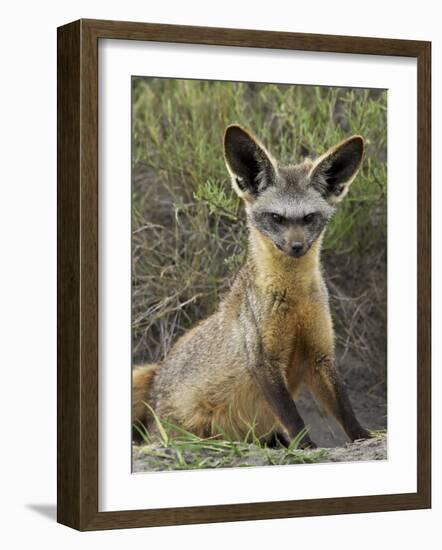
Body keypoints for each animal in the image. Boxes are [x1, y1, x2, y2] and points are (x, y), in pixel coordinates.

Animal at [133, 126, 372, 452]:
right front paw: (306, 447)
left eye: (309, 218)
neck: (294, 299)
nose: (296, 246)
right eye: (276, 218)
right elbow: (292, 417)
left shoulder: (319, 355)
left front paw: (364, 436)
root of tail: (157, 379)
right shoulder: (262, 360)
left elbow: (344, 409)